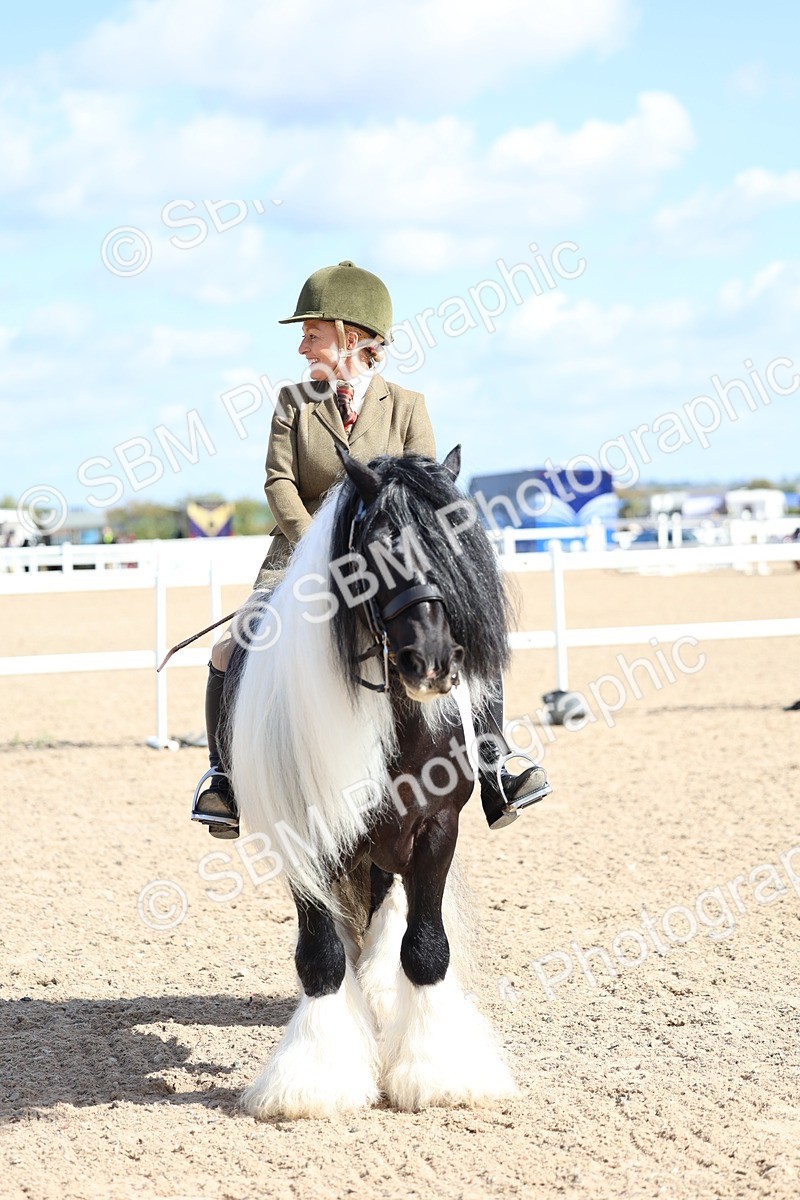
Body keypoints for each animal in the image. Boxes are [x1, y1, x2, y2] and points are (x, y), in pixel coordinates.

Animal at [223, 444, 521, 1119]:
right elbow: (321, 955)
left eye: (455, 540)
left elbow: (426, 947)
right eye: (379, 545)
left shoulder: (437, 828)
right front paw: (313, 1080)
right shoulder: (306, 837)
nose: (432, 664)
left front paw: (440, 1070)